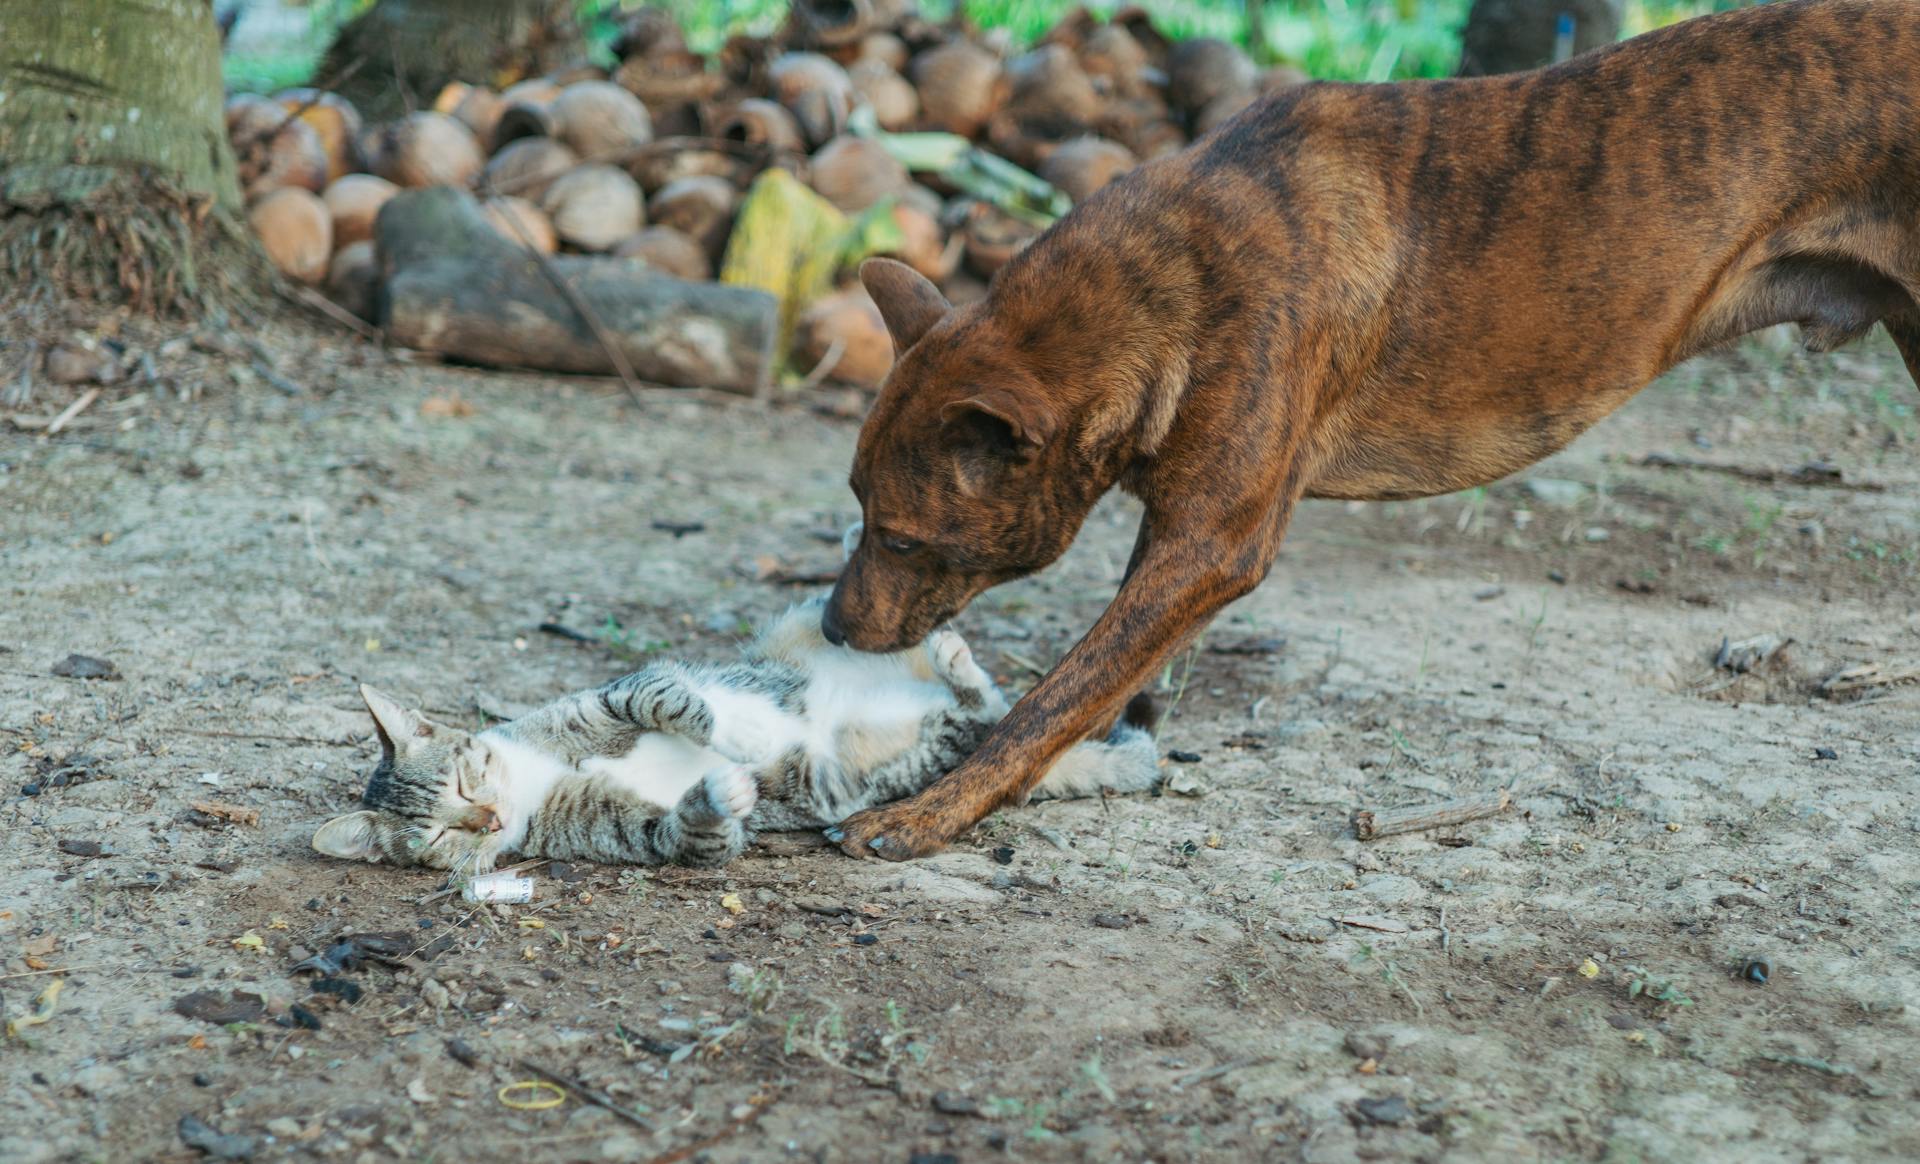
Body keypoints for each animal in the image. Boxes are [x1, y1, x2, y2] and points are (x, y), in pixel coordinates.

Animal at [311, 591, 1152, 875]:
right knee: (979, 718)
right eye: (440, 837)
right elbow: (694, 832)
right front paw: (725, 788)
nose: (486, 820)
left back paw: (943, 644)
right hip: (935, 755)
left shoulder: (618, 691)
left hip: (807, 624)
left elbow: (661, 695)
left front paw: (730, 732)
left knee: (986, 698)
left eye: (464, 779)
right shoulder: (642, 835)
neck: (537, 775)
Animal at [821, 0, 1920, 856]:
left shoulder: (1212, 545)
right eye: (853, 505)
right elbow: (1108, 680)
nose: (832, 626)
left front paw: (928, 813)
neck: (1171, 279)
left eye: (905, 539)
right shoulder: (1180, 525)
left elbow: (1054, 694)